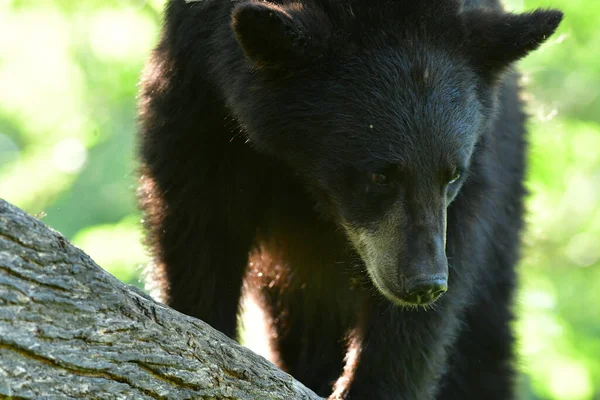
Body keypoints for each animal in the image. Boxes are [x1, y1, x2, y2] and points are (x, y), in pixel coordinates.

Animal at [136, 0, 564, 396]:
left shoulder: (479, 175)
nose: (425, 282)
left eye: (453, 173)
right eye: (380, 174)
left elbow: (425, 315)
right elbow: (198, 233)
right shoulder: (199, 98)